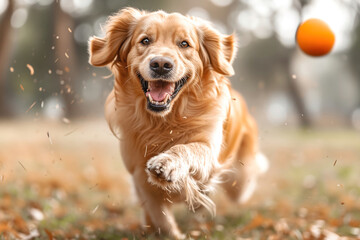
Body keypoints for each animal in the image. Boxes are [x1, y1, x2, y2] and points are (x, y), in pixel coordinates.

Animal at [87, 7, 268, 238]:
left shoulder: (208, 150)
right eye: (145, 40)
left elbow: (187, 148)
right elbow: (158, 214)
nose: (161, 65)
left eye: (184, 44)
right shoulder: (138, 173)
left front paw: (166, 163)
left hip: (240, 180)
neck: (164, 121)